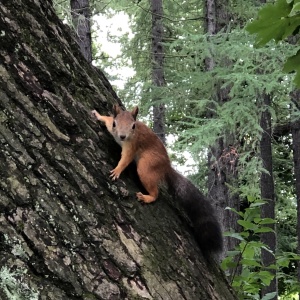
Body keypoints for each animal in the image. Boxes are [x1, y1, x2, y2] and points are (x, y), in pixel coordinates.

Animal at [91, 105, 223, 255]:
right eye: (115, 123)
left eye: (133, 126)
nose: (122, 136)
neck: (126, 138)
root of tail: (166, 167)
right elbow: (106, 120)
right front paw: (97, 114)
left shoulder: (132, 145)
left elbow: (125, 159)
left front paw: (117, 170)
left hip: (146, 166)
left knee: (156, 192)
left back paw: (148, 197)